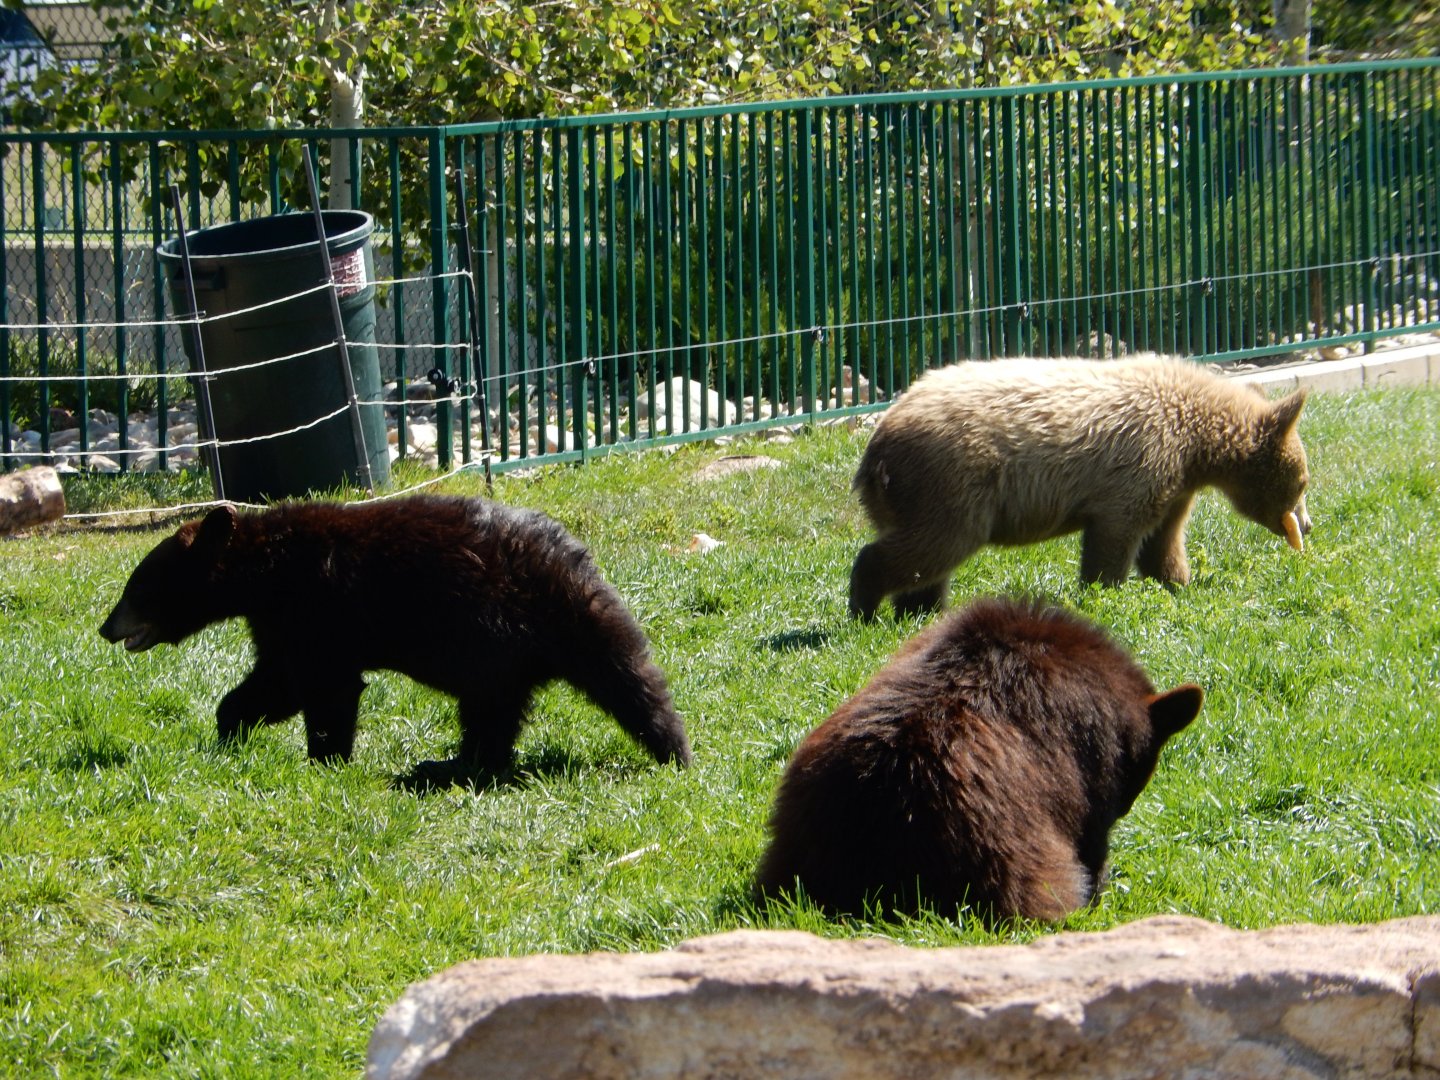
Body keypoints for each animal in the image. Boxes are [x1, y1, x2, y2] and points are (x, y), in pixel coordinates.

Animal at [98, 494, 692, 782]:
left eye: (136, 586)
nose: (106, 626)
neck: (265, 571)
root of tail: (574, 555)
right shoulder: (280, 622)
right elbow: (276, 682)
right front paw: (230, 729)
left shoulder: (318, 606)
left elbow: (327, 687)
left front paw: (326, 759)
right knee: (510, 707)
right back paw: (465, 762)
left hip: (534, 623)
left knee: (619, 677)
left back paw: (673, 750)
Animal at [848, 355, 1312, 619]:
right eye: (1303, 482)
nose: (1306, 525)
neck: (1195, 441)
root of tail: (876, 446)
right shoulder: (1140, 462)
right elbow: (1117, 535)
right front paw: (1103, 593)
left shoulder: (1174, 482)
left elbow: (1163, 541)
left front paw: (1181, 582)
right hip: (951, 483)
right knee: (929, 547)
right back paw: (865, 607)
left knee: (926, 564)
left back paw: (921, 611)